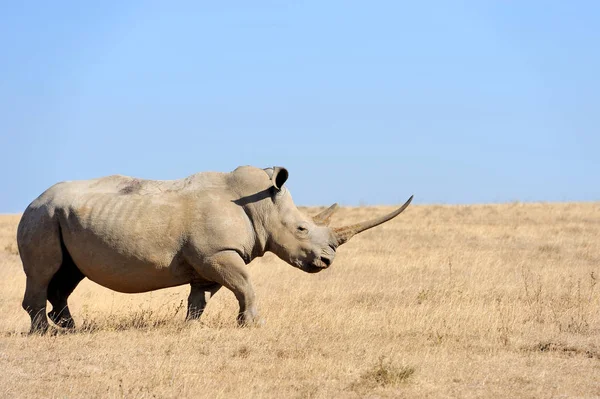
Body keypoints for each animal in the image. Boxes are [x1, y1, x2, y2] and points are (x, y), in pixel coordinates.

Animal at [18, 166, 412, 334]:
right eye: (301, 229)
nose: (328, 261)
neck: (263, 207)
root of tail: (32, 200)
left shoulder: (210, 257)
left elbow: (201, 297)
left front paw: (192, 327)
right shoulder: (216, 253)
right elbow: (246, 285)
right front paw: (254, 325)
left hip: (58, 217)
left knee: (67, 276)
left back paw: (69, 328)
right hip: (41, 217)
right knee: (44, 273)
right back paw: (45, 332)